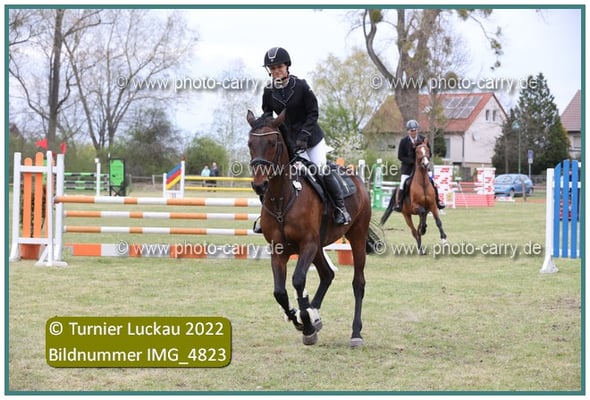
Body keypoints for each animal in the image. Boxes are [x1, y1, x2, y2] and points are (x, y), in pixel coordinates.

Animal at [247, 110, 383, 347]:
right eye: (250, 144)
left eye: (272, 143)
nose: (259, 185)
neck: (284, 197)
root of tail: (356, 178)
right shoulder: (279, 250)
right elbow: (279, 292)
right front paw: (301, 320)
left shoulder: (307, 244)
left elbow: (298, 280)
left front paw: (307, 325)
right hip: (319, 246)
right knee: (327, 275)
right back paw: (314, 314)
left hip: (355, 236)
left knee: (358, 282)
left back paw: (355, 333)